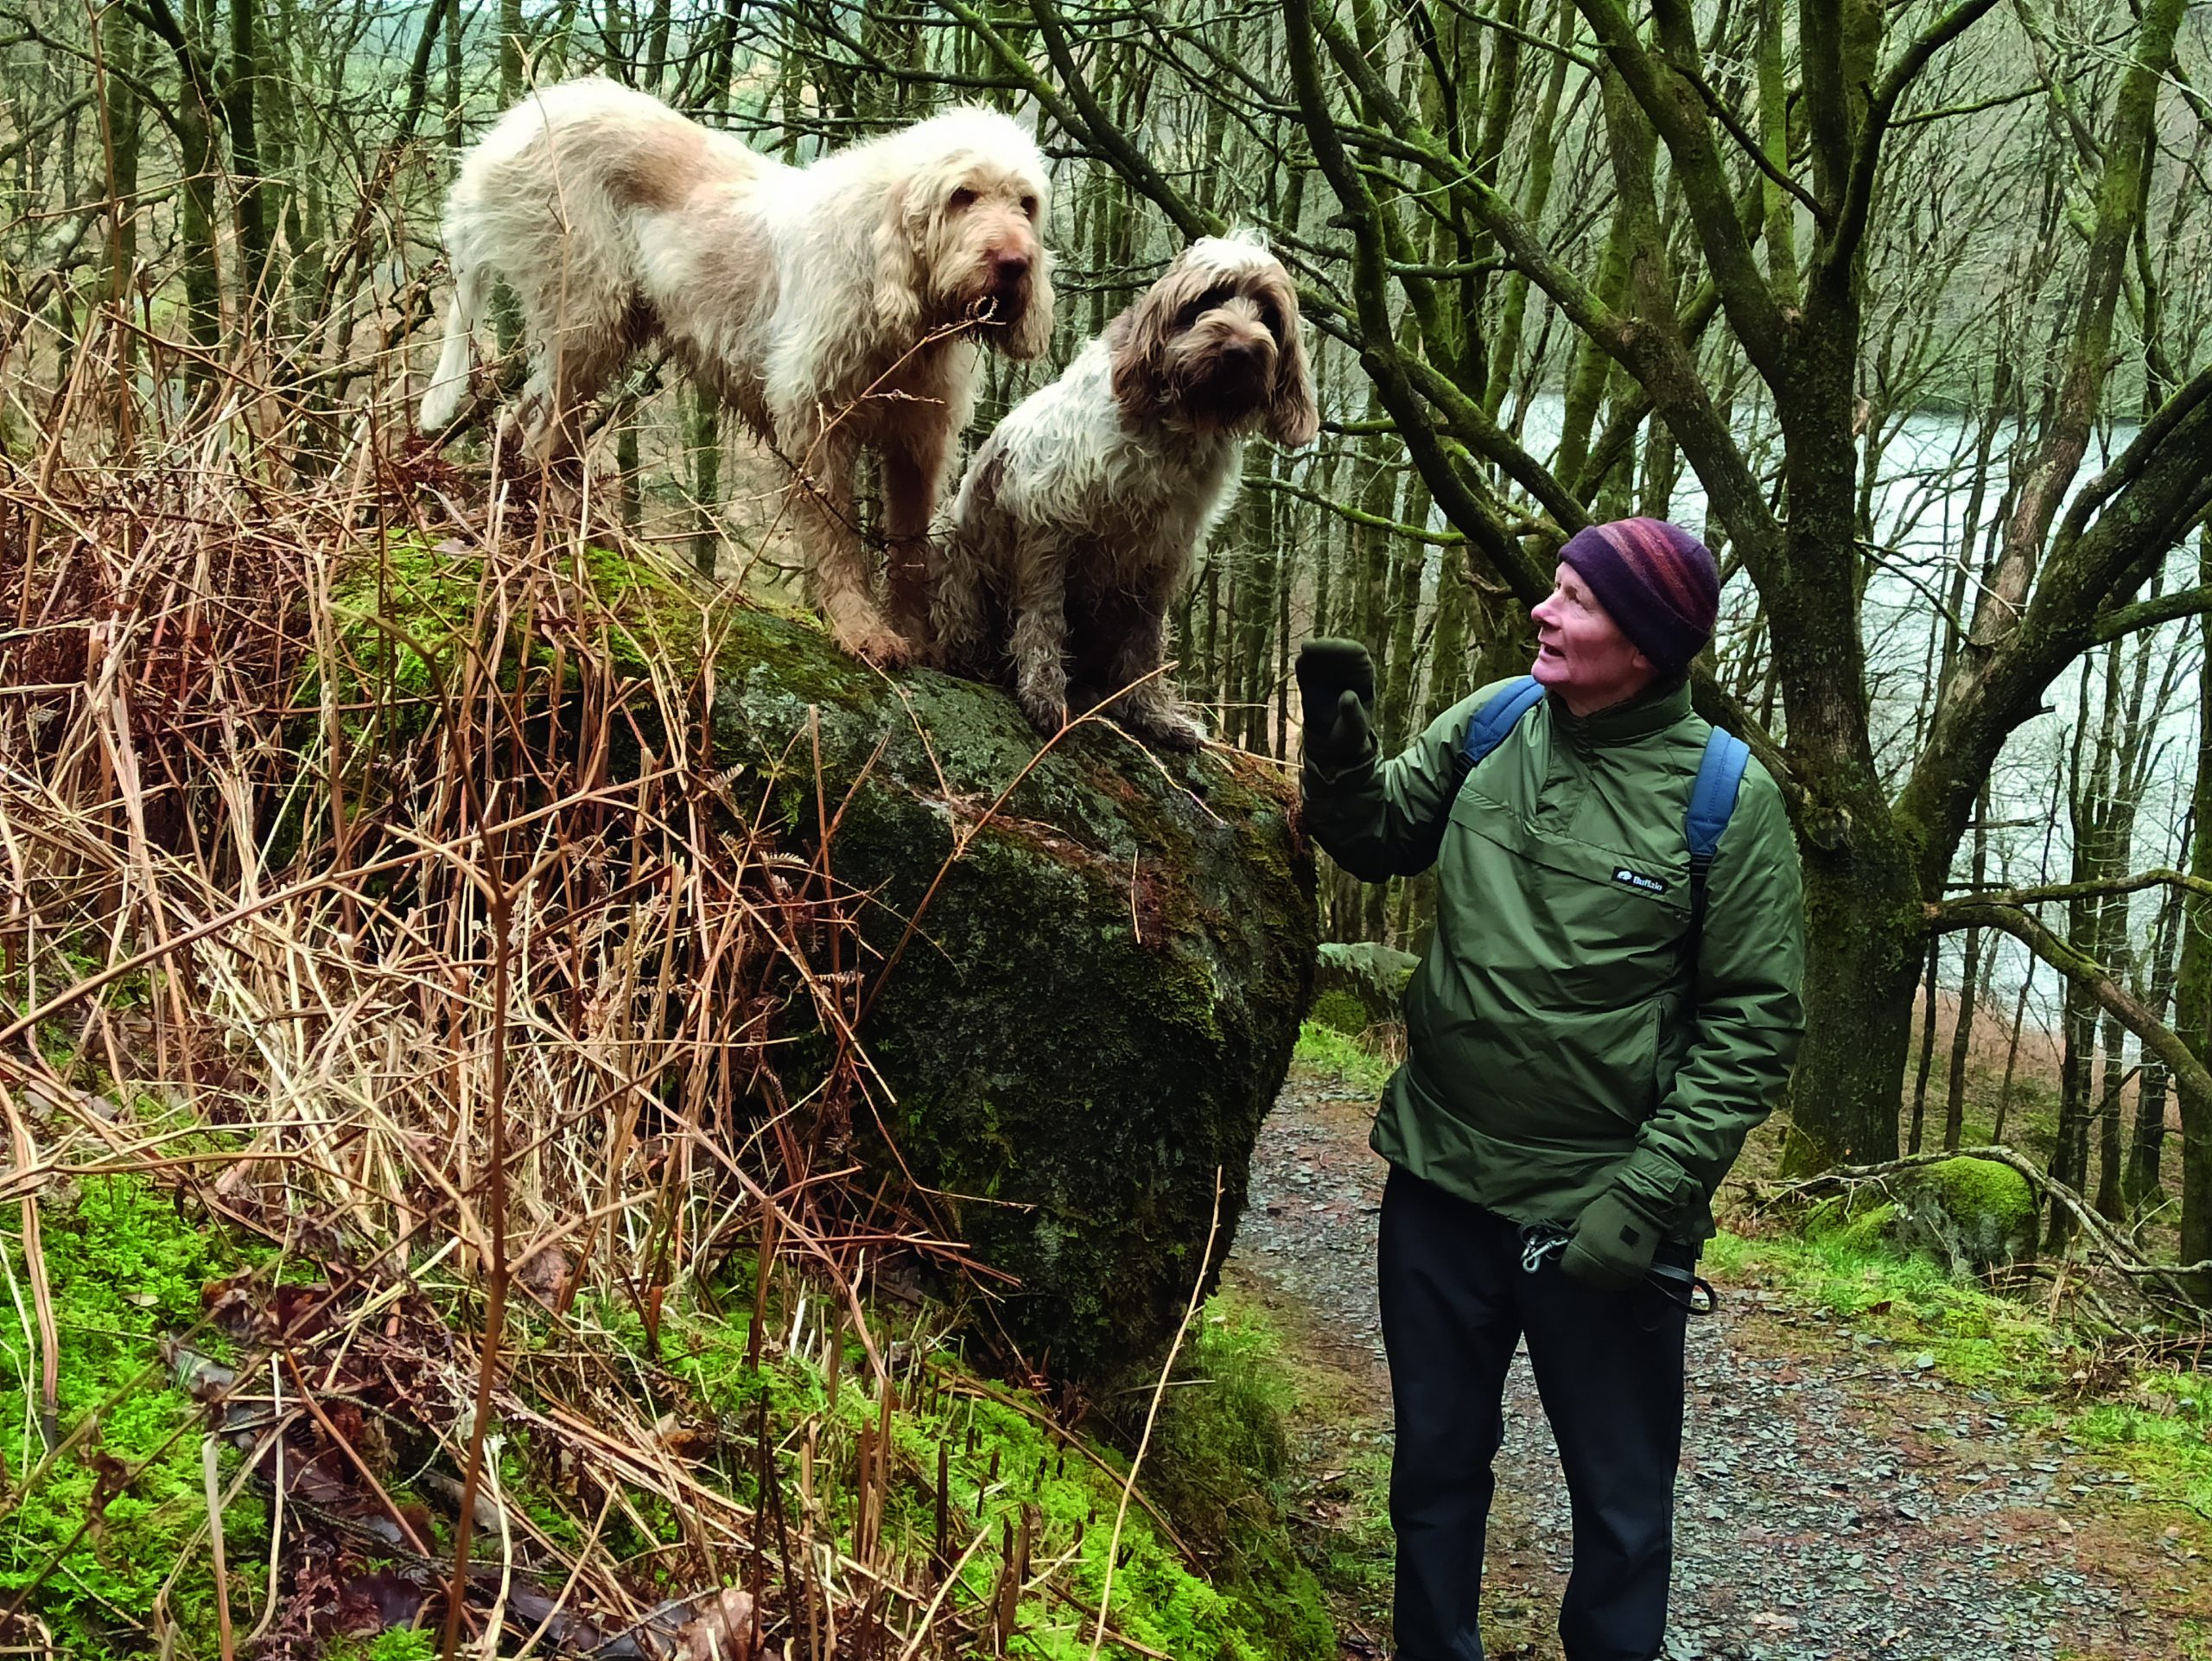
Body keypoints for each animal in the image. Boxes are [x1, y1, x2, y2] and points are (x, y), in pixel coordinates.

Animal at [429, 76, 1061, 663]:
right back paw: (562, 533)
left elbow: (910, 545)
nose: (1014, 264)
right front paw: (860, 628)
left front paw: (913, 635)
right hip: (589, 313)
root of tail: (514, 124)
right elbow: (835, 536)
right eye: (963, 195)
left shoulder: (919, 440)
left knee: (519, 424)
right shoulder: (815, 421)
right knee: (539, 432)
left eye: (1026, 204)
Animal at [929, 232, 1309, 748]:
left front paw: (1150, 710)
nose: (1243, 351)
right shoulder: (1051, 523)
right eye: (1209, 299)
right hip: (948, 542)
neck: (1170, 434)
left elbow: (1146, 639)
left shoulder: (1163, 554)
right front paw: (1043, 693)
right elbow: (1045, 617)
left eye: (1268, 313)